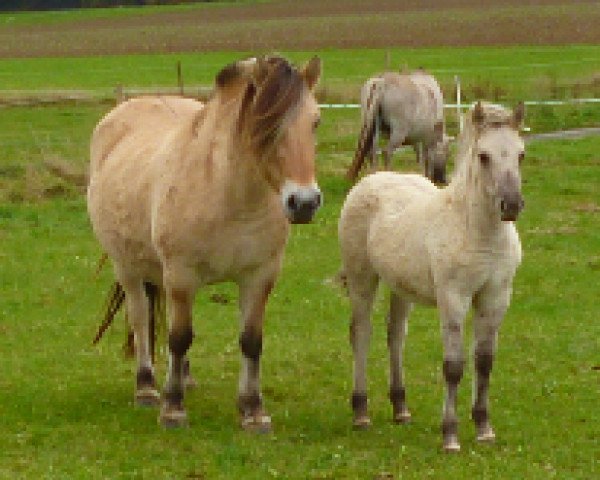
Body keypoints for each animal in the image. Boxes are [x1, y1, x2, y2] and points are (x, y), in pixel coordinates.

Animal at [86, 55, 322, 432]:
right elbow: (179, 336)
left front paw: (253, 410)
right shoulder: (181, 274)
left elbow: (250, 340)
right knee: (140, 318)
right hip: (129, 268)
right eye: (264, 123)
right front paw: (173, 408)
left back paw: (185, 377)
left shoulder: (260, 276)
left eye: (315, 121)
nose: (304, 202)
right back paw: (147, 388)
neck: (230, 196)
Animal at [340, 101, 524, 450]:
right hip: (362, 279)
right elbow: (453, 366)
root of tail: (371, 180)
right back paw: (360, 413)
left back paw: (401, 408)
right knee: (361, 333)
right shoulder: (454, 298)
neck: (478, 233)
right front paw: (450, 435)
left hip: (401, 287)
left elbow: (484, 361)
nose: (511, 205)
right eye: (484, 156)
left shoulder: (496, 298)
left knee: (395, 335)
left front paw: (484, 428)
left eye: (521, 154)